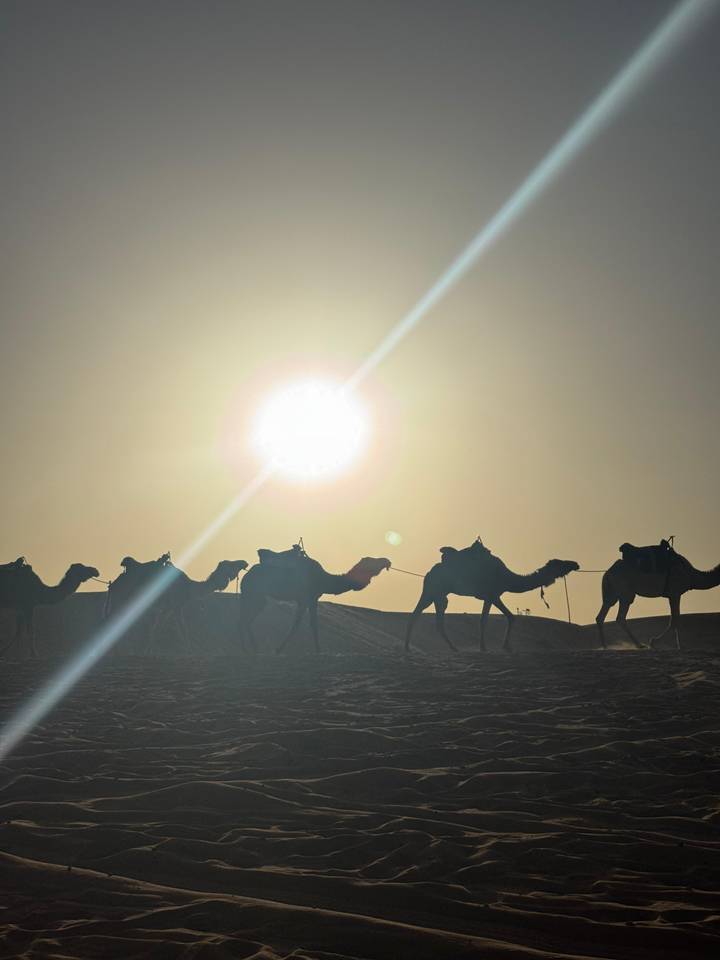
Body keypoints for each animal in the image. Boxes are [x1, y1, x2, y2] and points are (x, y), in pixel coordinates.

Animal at [105, 556, 248, 652]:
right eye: (230, 563)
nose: (244, 562)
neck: (189, 587)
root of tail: (115, 583)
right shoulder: (176, 606)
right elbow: (182, 628)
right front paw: (190, 650)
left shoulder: (169, 608)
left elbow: (157, 627)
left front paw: (146, 648)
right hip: (122, 599)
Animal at [238, 547, 391, 653]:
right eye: (372, 561)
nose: (387, 561)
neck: (324, 579)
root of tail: (246, 576)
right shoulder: (308, 598)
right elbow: (309, 624)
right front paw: (318, 650)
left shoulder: (308, 599)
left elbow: (301, 624)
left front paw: (279, 649)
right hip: (254, 594)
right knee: (245, 618)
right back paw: (249, 649)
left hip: (256, 597)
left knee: (246, 618)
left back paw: (249, 649)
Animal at [405, 540, 579, 653]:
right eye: (560, 563)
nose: (575, 564)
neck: (506, 577)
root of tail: (429, 572)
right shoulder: (491, 595)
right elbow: (484, 620)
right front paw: (483, 647)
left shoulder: (494, 595)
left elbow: (510, 616)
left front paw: (506, 646)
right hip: (431, 590)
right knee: (416, 614)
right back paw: (407, 648)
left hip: (439, 595)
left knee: (434, 619)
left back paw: (452, 648)